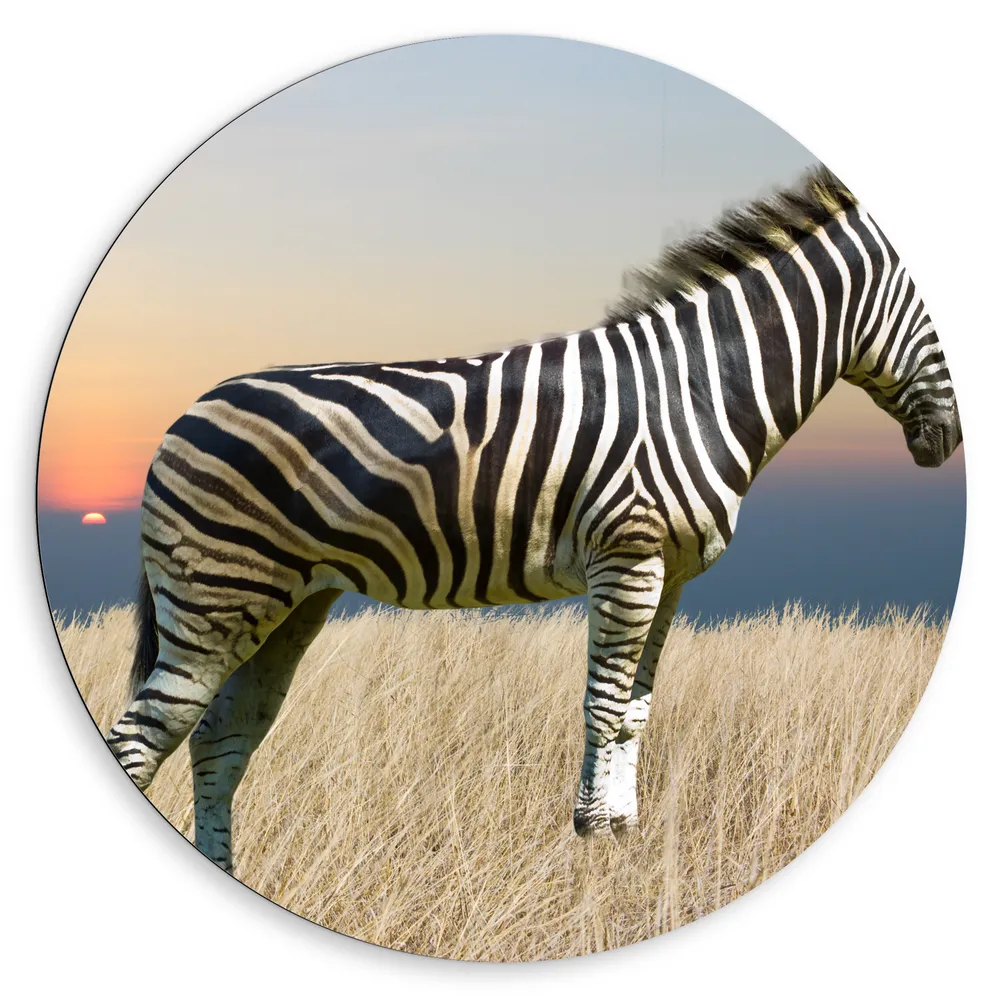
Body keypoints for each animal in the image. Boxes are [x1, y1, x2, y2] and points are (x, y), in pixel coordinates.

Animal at [106, 166, 961, 873]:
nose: (947, 445)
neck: (701, 386)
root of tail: (188, 411)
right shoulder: (628, 553)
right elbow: (604, 701)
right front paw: (590, 839)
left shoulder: (672, 573)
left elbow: (638, 709)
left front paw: (624, 841)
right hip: (215, 597)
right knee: (143, 740)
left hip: (285, 607)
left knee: (219, 741)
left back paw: (228, 873)